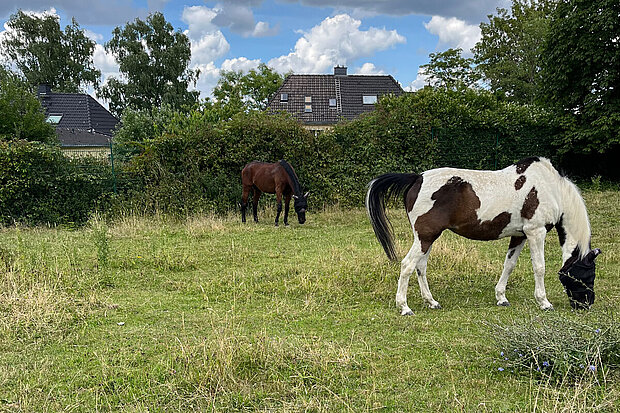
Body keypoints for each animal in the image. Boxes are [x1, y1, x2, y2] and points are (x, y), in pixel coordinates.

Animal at [366, 156, 600, 314]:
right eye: (589, 275)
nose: (587, 304)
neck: (550, 188)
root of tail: (417, 178)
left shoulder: (520, 235)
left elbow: (509, 265)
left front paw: (501, 297)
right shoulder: (536, 232)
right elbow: (539, 267)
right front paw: (544, 302)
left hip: (428, 238)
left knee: (420, 267)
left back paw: (431, 302)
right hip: (425, 237)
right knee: (407, 265)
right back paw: (404, 307)